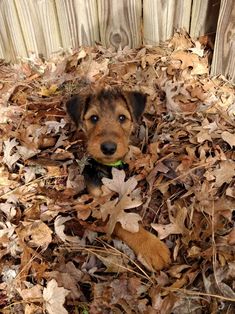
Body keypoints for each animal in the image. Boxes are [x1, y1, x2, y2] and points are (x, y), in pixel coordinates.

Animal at [66, 87, 171, 272]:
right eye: (94, 118)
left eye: (122, 118)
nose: (108, 148)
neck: (110, 167)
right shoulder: (101, 206)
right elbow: (126, 226)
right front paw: (154, 248)